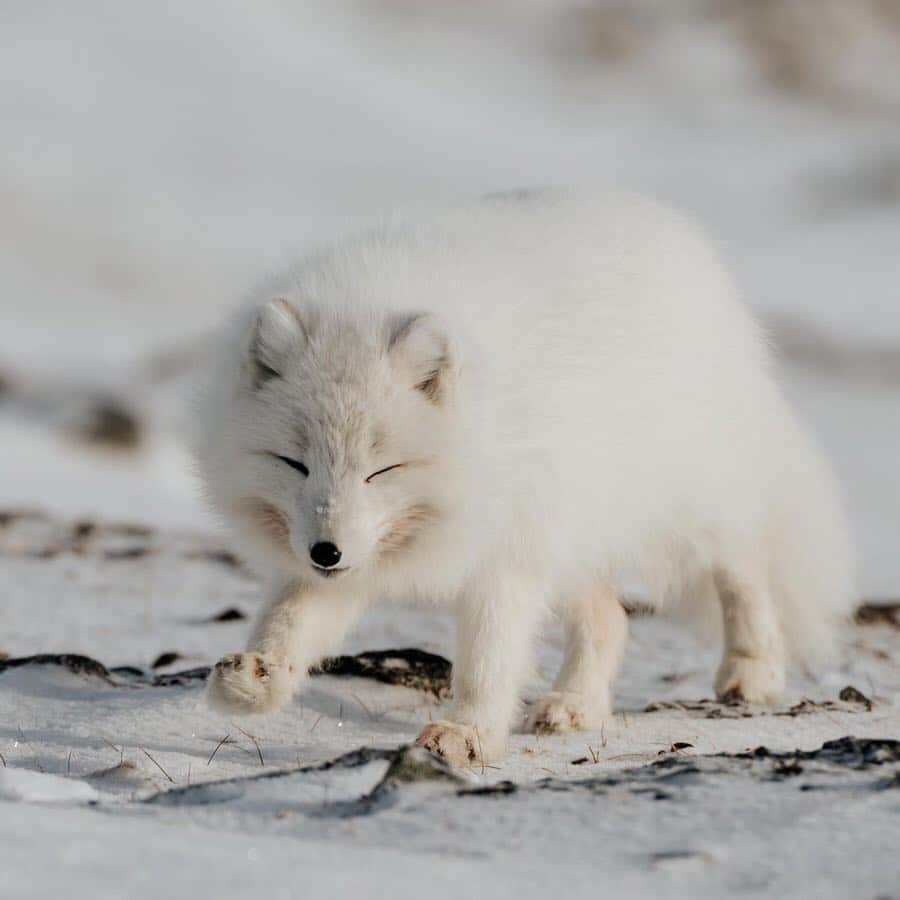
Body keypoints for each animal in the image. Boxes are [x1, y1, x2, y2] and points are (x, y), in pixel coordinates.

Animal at [193, 190, 856, 768]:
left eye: (383, 469)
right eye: (294, 463)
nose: (324, 552)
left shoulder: (506, 555)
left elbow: (490, 658)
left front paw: (468, 736)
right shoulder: (361, 557)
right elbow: (290, 618)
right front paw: (255, 680)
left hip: (691, 504)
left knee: (742, 569)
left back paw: (753, 671)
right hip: (576, 528)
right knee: (611, 621)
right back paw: (575, 706)